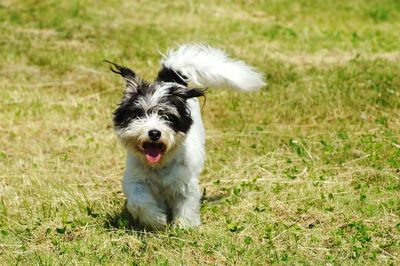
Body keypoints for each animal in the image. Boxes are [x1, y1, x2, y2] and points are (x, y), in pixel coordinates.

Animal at [107, 44, 266, 230]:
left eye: (167, 117)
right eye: (139, 115)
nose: (154, 133)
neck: (160, 165)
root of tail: (170, 80)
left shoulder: (185, 183)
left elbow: (186, 204)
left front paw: (184, 227)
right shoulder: (135, 181)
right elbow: (139, 202)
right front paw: (157, 219)